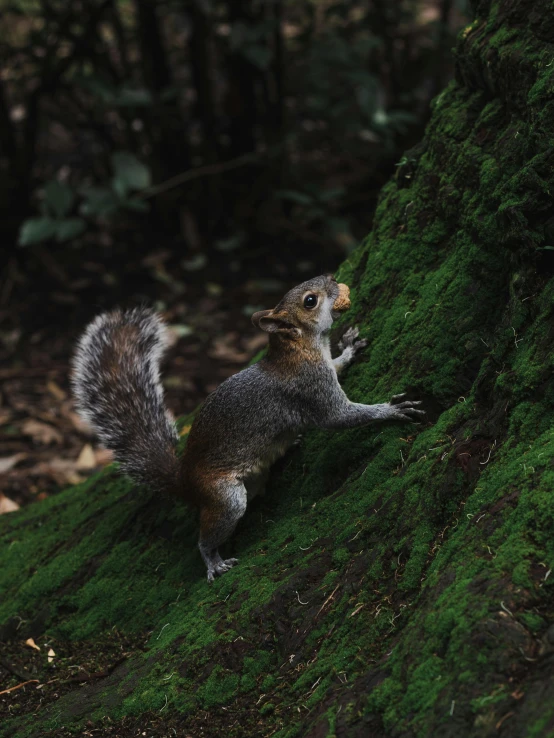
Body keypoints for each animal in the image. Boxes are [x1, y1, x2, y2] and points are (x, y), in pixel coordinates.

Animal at [70, 274, 422, 580]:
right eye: (310, 301)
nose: (333, 277)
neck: (301, 348)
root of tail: (185, 480)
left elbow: (338, 365)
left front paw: (349, 348)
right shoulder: (310, 387)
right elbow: (340, 416)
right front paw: (390, 410)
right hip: (224, 497)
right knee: (208, 534)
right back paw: (214, 561)